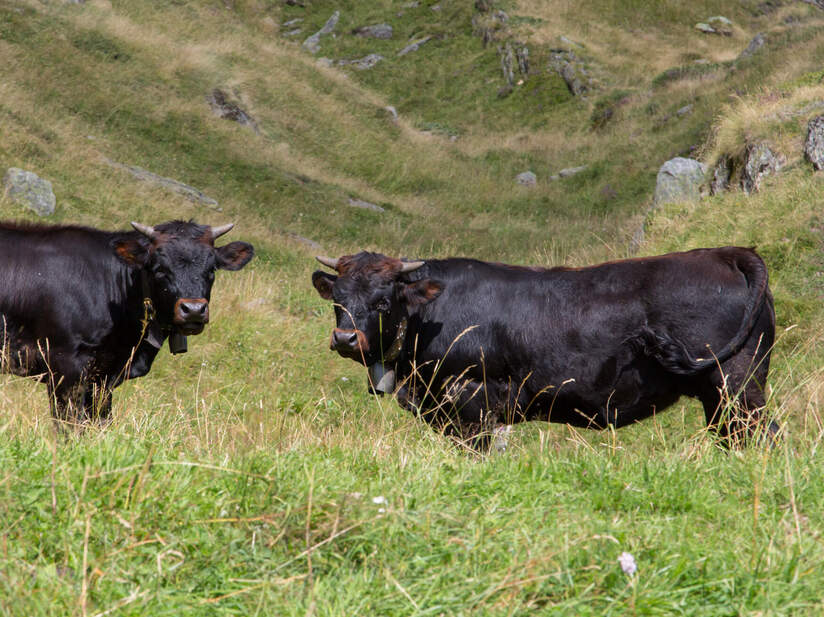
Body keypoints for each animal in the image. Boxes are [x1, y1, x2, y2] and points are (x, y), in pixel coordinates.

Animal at [312, 247, 776, 448]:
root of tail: (725, 252)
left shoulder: (474, 400)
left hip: (737, 385)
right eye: (338, 298)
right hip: (721, 394)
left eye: (383, 301)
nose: (345, 339)